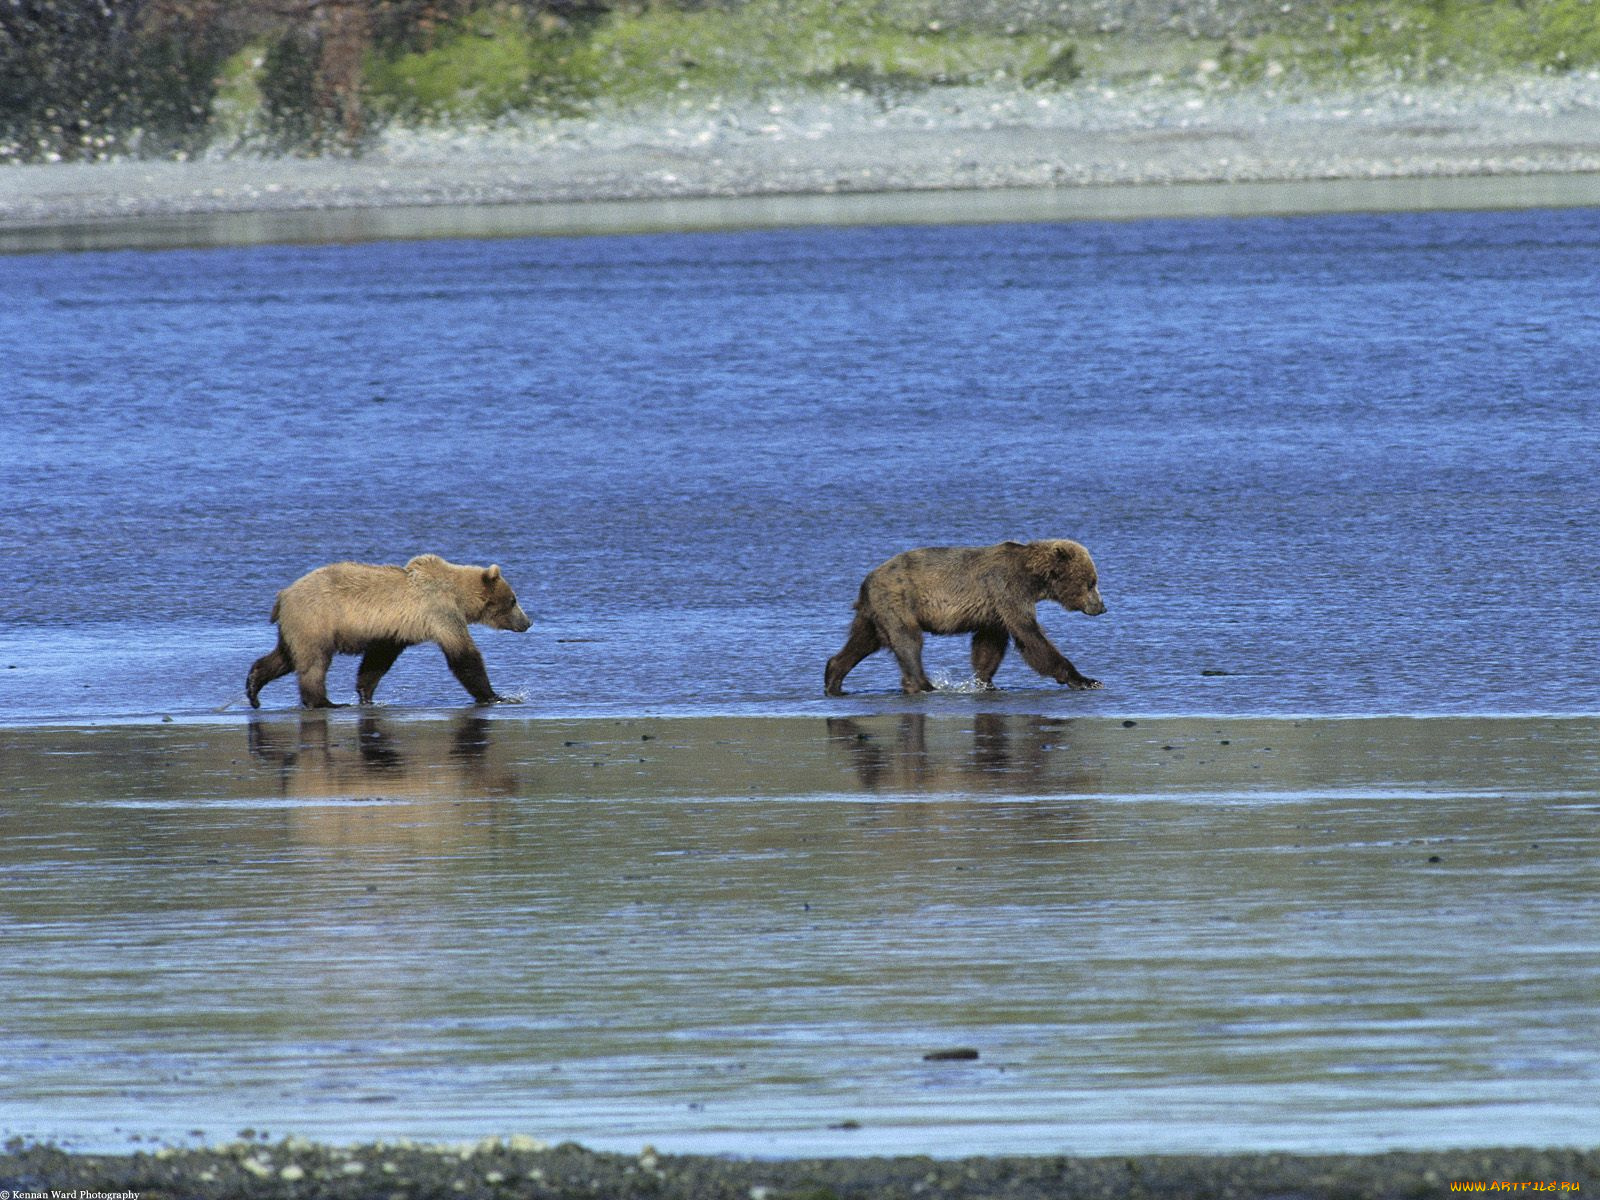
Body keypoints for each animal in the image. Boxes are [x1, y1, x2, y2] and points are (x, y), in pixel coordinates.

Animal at [243, 556, 531, 710]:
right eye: (513, 600)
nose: (527, 622)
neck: (458, 595)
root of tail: (283, 595)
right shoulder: (441, 613)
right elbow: (464, 657)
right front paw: (497, 695)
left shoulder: (394, 631)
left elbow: (377, 660)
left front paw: (365, 694)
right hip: (316, 619)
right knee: (313, 663)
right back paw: (324, 701)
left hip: (297, 625)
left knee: (285, 656)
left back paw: (254, 688)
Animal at [825, 544, 1100, 700]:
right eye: (1091, 582)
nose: (1101, 606)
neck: (1033, 578)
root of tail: (866, 580)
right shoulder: (1006, 589)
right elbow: (1030, 636)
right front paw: (1085, 679)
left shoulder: (994, 610)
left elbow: (988, 646)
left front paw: (986, 682)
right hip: (898, 600)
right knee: (908, 640)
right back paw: (924, 685)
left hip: (873, 613)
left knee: (863, 641)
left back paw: (834, 678)